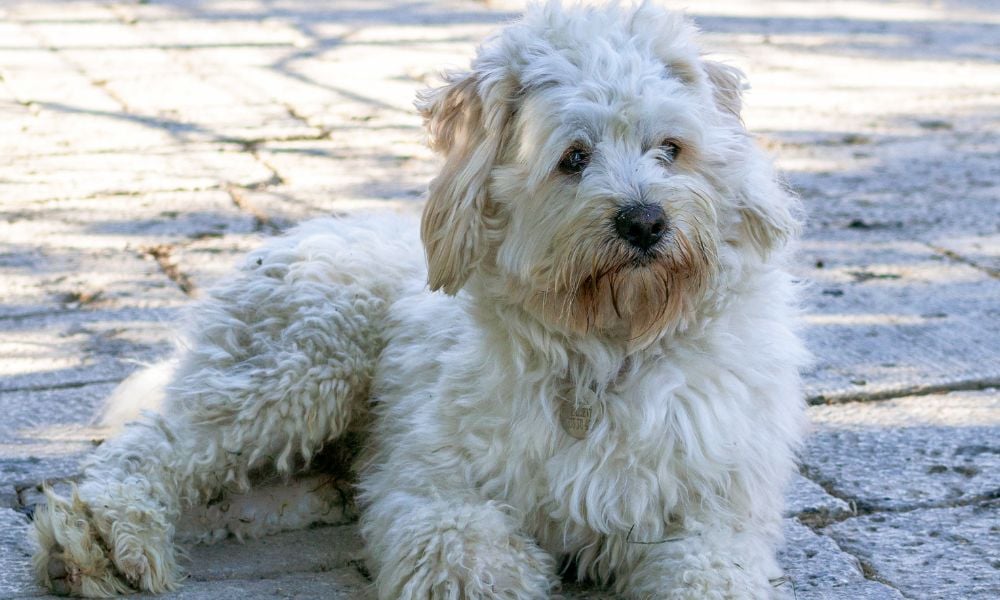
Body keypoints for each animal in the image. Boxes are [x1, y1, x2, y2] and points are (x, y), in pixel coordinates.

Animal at [33, 2, 804, 596]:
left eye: (671, 148)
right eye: (573, 157)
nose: (645, 222)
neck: (603, 352)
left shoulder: (717, 517)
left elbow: (708, 569)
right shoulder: (426, 485)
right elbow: (467, 552)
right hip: (297, 365)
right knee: (150, 450)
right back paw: (100, 545)